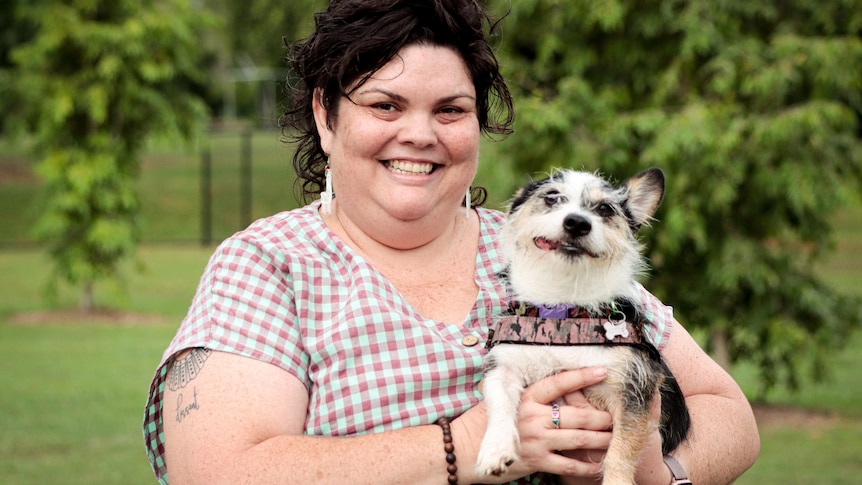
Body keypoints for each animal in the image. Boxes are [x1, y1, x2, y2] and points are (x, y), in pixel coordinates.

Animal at [476, 168, 692, 482]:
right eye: (552, 197)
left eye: (604, 208)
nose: (577, 222)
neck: (563, 308)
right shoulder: (503, 366)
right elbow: (499, 401)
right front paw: (494, 450)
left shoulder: (633, 392)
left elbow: (621, 451)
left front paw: (617, 481)